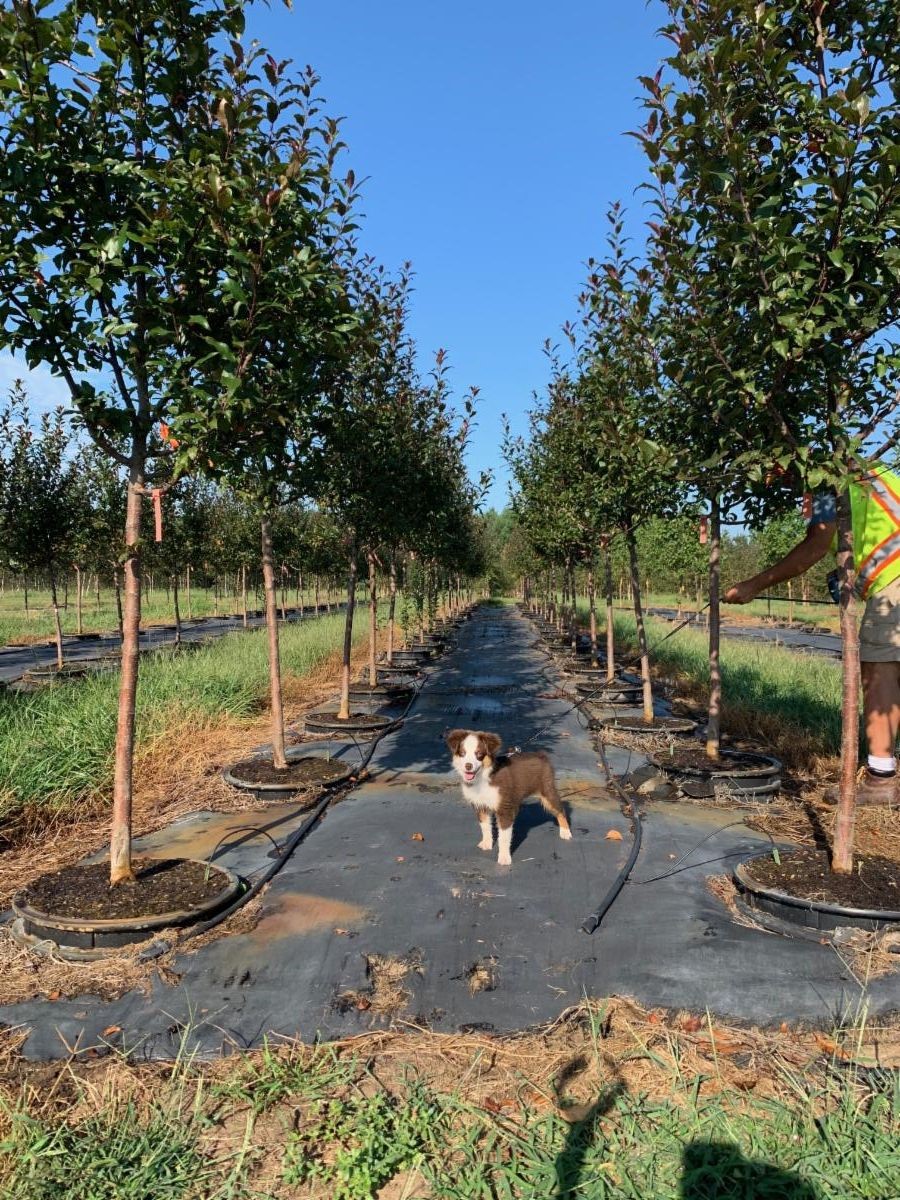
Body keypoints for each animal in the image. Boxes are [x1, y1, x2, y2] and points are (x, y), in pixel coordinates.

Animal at [448, 724, 573, 868]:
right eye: (462, 753)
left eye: (479, 754)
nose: (468, 766)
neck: (484, 777)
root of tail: (541, 755)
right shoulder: (480, 805)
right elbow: (485, 826)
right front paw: (487, 843)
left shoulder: (504, 808)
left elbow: (504, 836)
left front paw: (504, 858)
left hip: (547, 791)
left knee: (560, 809)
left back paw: (565, 832)